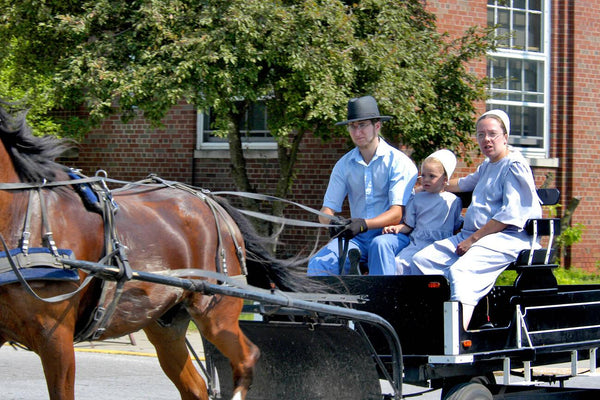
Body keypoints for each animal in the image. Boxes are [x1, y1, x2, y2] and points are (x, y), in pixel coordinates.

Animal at [0, 104, 310, 398]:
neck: (24, 217)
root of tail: (211, 200)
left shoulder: (56, 338)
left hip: (216, 313)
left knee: (247, 359)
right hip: (166, 325)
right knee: (196, 388)